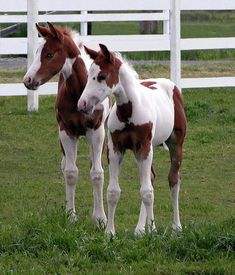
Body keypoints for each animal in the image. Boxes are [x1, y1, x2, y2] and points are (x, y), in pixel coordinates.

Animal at [23, 23, 110, 226]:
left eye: (49, 54)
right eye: (36, 51)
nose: (27, 80)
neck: (79, 91)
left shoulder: (96, 130)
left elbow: (97, 173)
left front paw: (100, 219)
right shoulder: (66, 131)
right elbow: (70, 172)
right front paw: (70, 216)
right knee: (66, 165)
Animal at [78, 44, 186, 236]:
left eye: (102, 76)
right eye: (89, 75)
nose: (82, 104)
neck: (129, 112)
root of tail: (171, 85)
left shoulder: (144, 147)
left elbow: (147, 192)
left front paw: (153, 230)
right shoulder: (115, 149)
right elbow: (113, 192)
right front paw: (109, 232)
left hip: (174, 145)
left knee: (173, 179)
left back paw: (175, 227)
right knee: (151, 177)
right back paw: (141, 229)